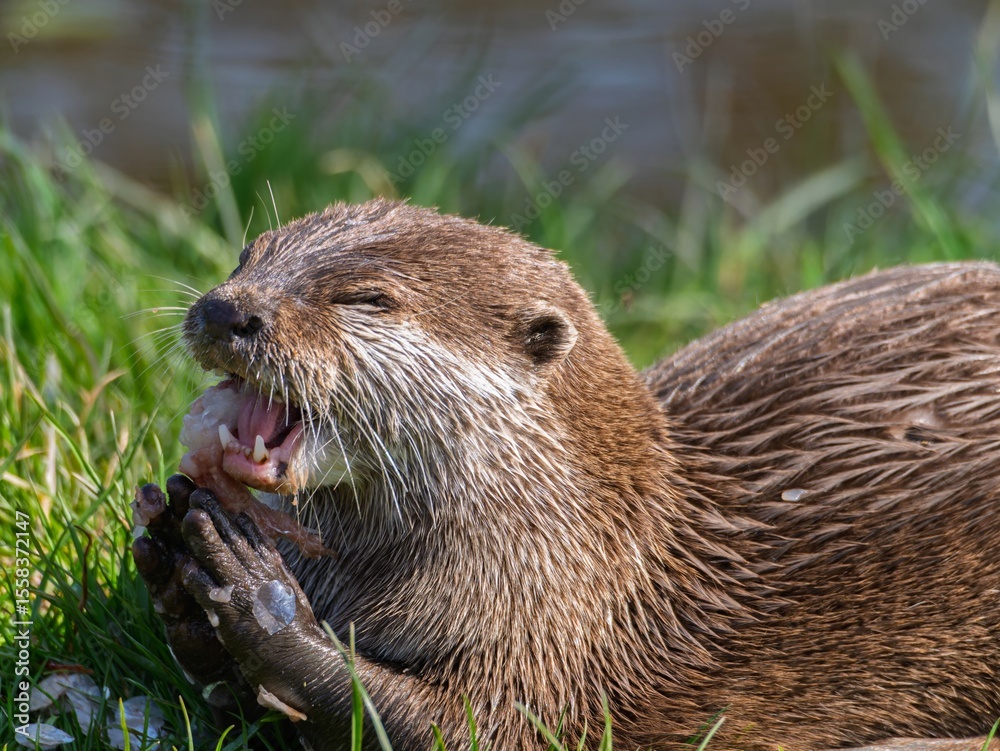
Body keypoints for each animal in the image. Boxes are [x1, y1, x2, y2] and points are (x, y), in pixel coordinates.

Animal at [132, 199, 1000, 751]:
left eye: (367, 298)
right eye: (248, 256)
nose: (229, 309)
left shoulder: (558, 652)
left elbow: (460, 728)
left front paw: (261, 601)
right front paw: (172, 567)